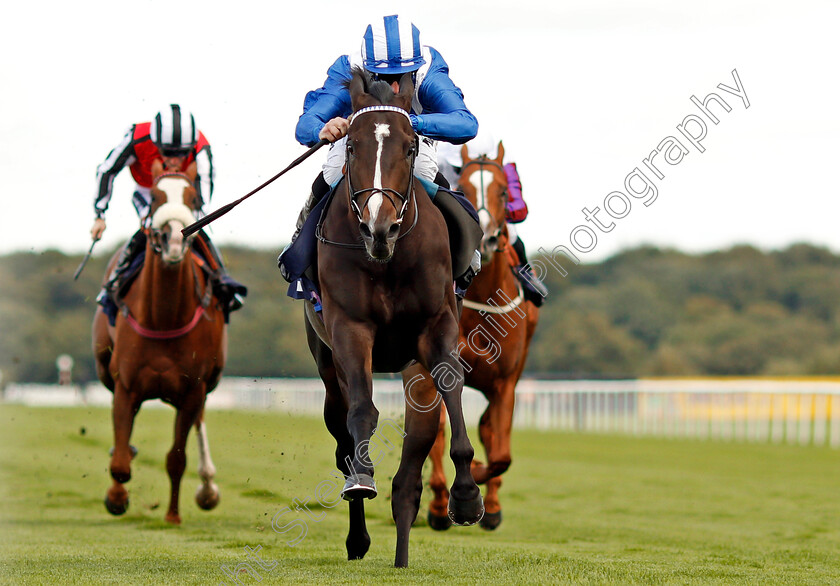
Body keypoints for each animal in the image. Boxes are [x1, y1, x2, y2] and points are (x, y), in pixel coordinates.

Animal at [92, 162, 226, 524]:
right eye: (154, 198)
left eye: (194, 197)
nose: (175, 240)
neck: (164, 318)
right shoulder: (125, 385)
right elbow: (121, 460)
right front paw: (116, 498)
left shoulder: (193, 387)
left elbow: (176, 458)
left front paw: (172, 516)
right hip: (105, 368)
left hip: (209, 381)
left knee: (200, 421)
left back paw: (208, 486)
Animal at [306, 68, 482, 564]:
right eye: (350, 146)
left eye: (410, 146)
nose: (378, 227)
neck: (387, 258)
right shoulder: (350, 330)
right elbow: (363, 410)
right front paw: (362, 480)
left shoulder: (436, 327)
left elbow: (453, 390)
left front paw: (467, 495)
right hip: (326, 367)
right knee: (343, 438)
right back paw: (357, 537)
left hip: (412, 373)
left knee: (410, 472)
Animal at [426, 140, 540, 528]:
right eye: (464, 189)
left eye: (504, 191)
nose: (487, 238)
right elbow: (439, 432)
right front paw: (441, 503)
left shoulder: (506, 383)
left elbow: (500, 452)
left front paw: (477, 480)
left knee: (491, 432)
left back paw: (491, 505)